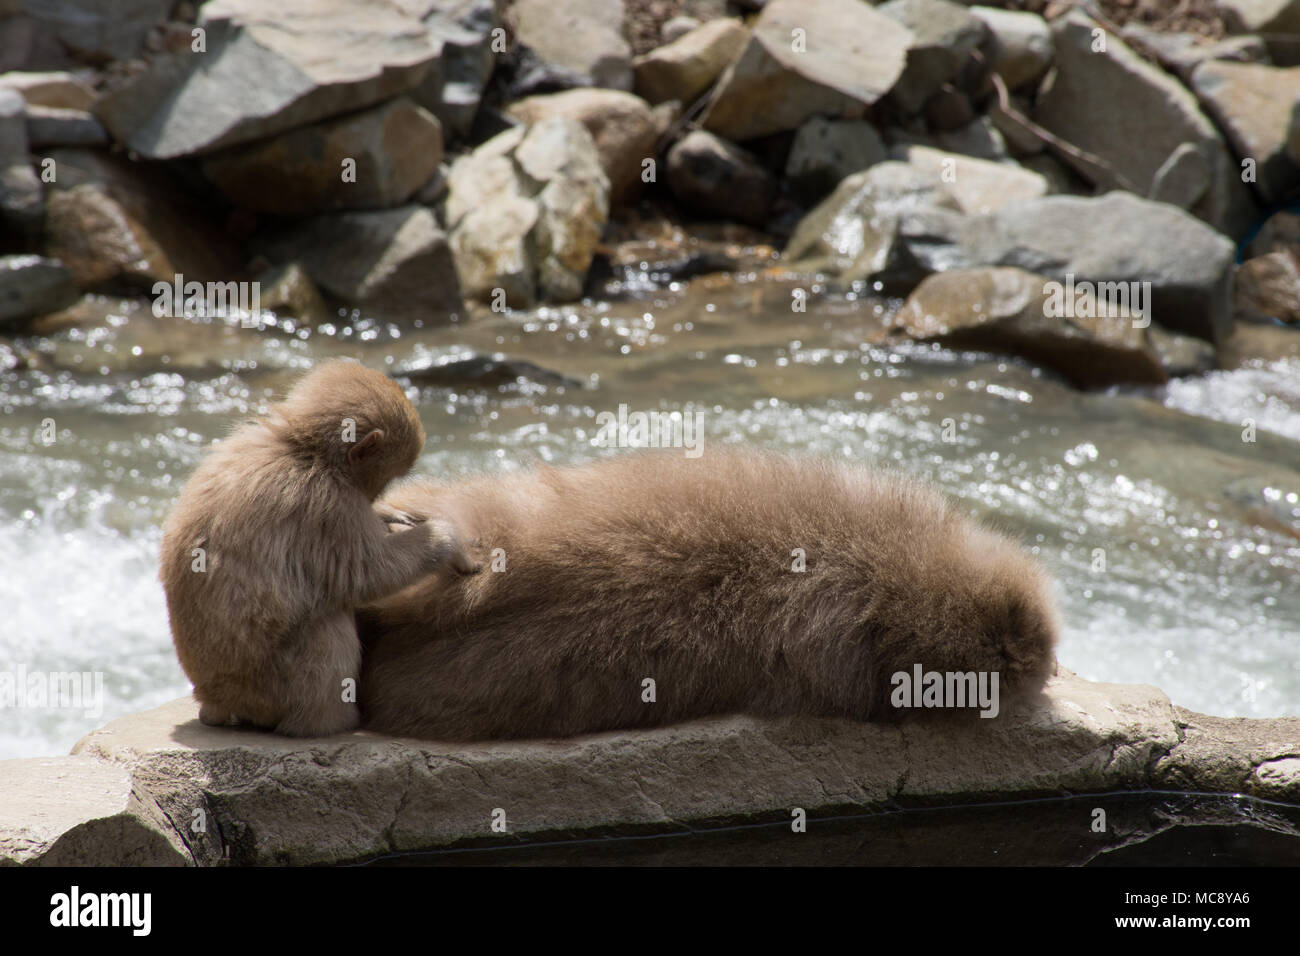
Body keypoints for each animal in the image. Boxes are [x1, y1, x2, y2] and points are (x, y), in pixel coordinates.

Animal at [159, 359, 477, 737]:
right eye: (388, 477)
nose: (377, 496)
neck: (301, 449)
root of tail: (218, 700)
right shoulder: (329, 504)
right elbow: (366, 574)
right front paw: (443, 538)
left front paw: (387, 516)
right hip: (273, 688)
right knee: (328, 619)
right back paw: (328, 722)